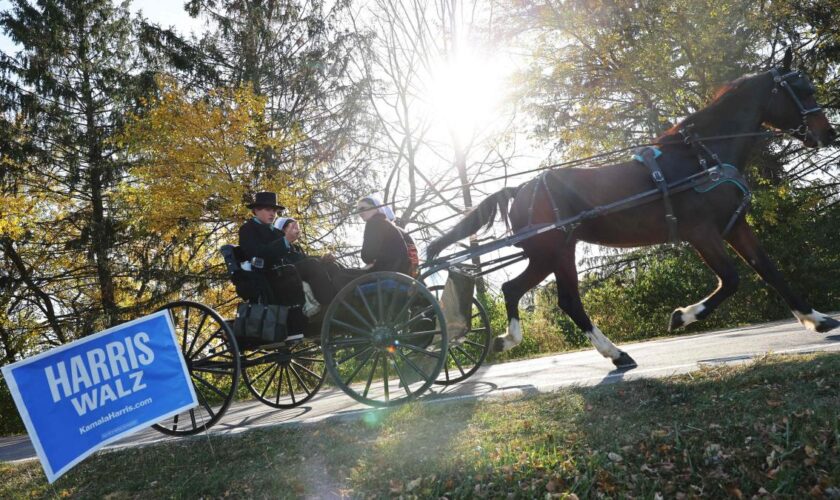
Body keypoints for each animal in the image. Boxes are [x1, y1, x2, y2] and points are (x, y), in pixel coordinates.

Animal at [430, 50, 836, 370]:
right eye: (803, 90)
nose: (828, 134)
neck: (700, 156)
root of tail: (520, 189)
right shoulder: (701, 233)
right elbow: (732, 279)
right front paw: (681, 317)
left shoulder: (734, 226)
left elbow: (769, 270)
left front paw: (816, 319)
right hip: (553, 252)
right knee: (553, 298)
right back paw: (612, 352)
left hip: (553, 252)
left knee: (527, 292)